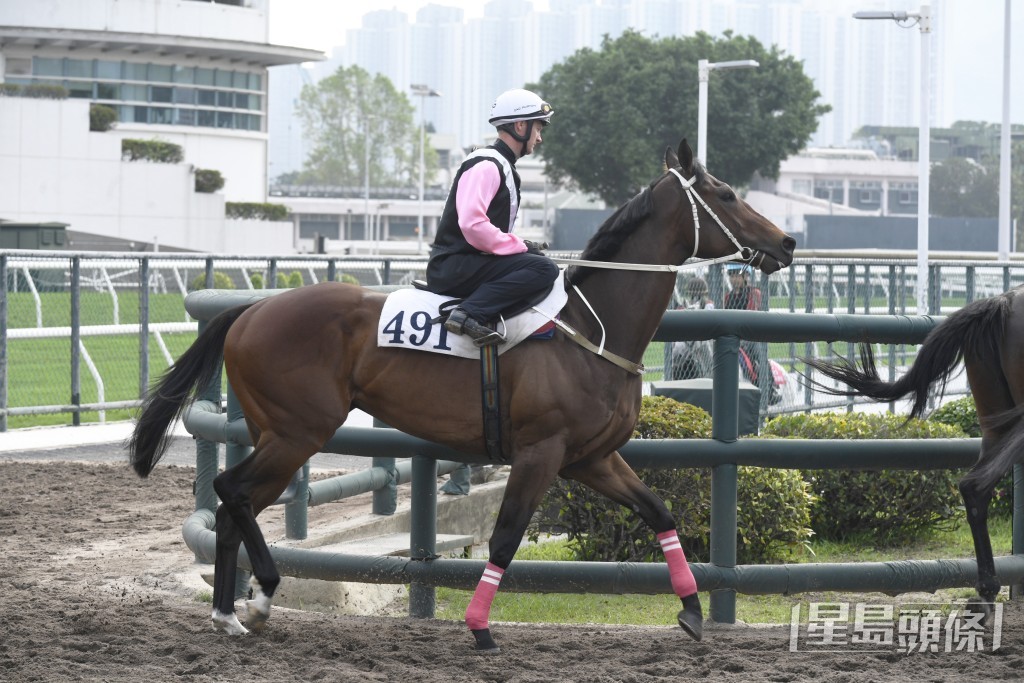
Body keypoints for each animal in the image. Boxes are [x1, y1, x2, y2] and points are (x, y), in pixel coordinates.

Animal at [128, 138, 796, 651]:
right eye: (726, 194)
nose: (787, 243)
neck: (589, 328)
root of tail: (250, 310)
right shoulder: (540, 453)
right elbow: (505, 536)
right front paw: (478, 626)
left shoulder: (591, 458)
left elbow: (660, 511)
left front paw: (691, 610)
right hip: (297, 433)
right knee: (231, 490)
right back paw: (261, 595)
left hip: (279, 435)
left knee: (233, 504)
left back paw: (229, 613)